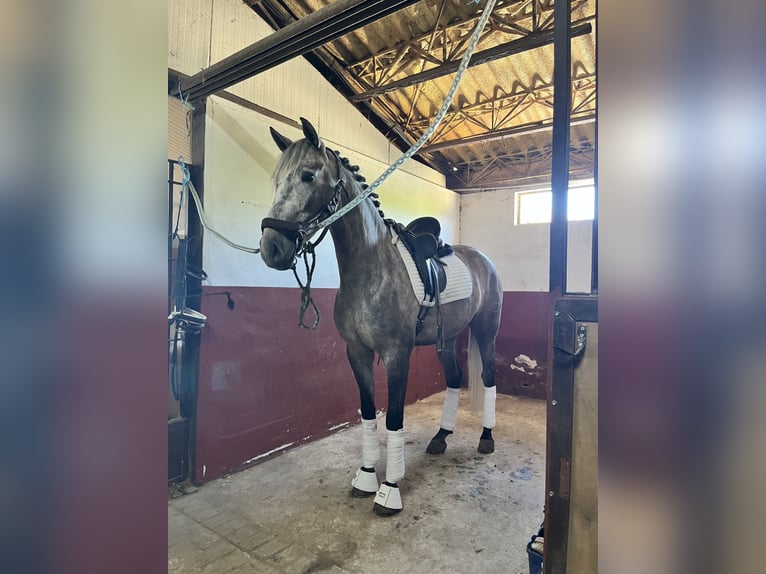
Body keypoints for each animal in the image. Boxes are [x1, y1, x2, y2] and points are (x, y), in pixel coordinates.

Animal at [260, 118, 503, 516]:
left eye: (308, 175)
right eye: (278, 180)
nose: (272, 248)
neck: (370, 269)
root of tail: (483, 259)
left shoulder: (396, 356)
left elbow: (393, 418)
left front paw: (389, 489)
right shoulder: (356, 354)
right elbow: (369, 412)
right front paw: (366, 476)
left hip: (486, 332)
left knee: (489, 378)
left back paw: (485, 437)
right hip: (447, 339)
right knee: (454, 379)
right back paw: (441, 437)